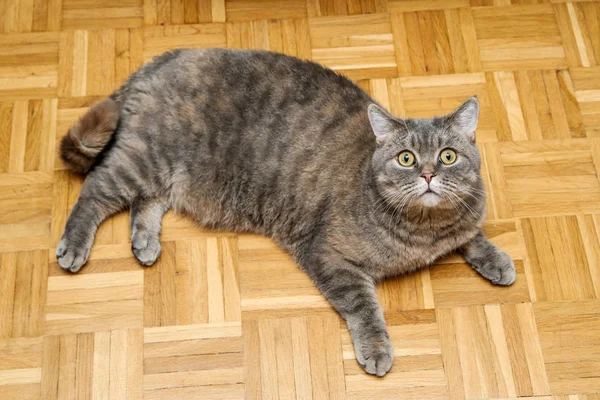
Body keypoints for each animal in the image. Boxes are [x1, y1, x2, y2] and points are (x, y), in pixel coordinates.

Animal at [56, 48, 516, 376]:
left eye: (448, 155)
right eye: (406, 158)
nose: (427, 174)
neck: (424, 232)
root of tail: (161, 58)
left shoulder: (465, 218)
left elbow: (472, 234)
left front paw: (496, 259)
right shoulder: (329, 255)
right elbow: (364, 307)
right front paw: (377, 348)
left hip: (166, 173)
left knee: (145, 201)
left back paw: (145, 241)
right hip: (146, 159)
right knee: (96, 189)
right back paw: (74, 247)